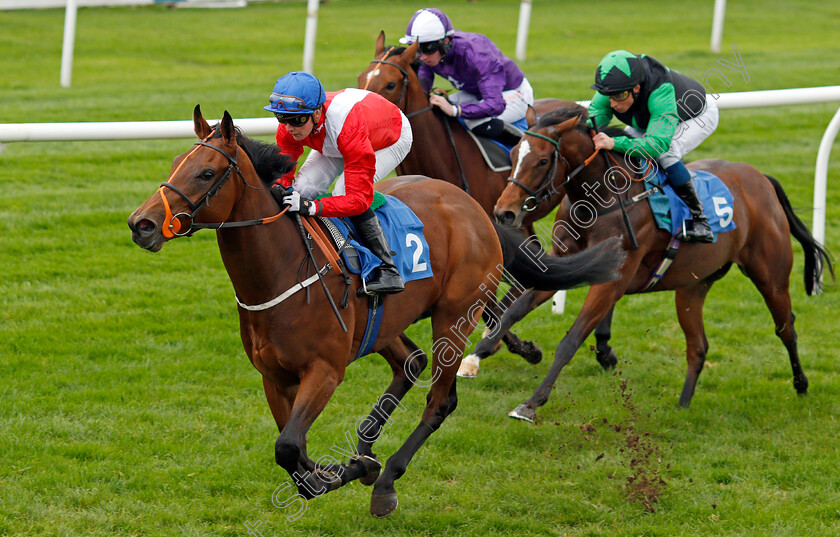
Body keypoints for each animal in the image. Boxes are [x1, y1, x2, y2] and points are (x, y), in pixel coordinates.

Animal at [124, 105, 624, 516]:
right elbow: (291, 449)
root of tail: (475, 208)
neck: (282, 272)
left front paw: (346, 473)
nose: (141, 224)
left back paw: (386, 482)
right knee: (410, 363)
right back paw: (369, 449)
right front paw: (345, 467)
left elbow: (288, 446)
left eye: (206, 173)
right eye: (175, 163)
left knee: (439, 400)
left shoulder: (325, 370)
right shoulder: (274, 377)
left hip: (453, 316)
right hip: (385, 323)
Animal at [482, 105, 832, 422]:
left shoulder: (613, 280)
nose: (504, 212)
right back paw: (682, 406)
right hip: (693, 286)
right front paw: (482, 351)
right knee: (698, 347)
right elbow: (514, 310)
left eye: (542, 160)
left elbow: (571, 339)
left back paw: (801, 384)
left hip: (770, 275)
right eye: (513, 153)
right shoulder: (563, 264)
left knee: (786, 328)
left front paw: (531, 404)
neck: (602, 200)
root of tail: (760, 178)